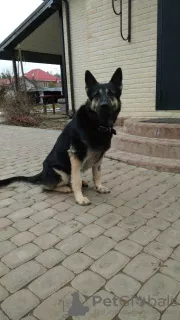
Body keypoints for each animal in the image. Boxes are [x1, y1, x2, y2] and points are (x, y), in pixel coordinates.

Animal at [0, 69, 122, 206]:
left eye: (111, 93)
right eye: (96, 95)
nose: (104, 105)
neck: (97, 125)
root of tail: (42, 173)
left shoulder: (99, 158)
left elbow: (97, 174)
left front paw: (99, 187)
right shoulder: (75, 156)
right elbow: (76, 181)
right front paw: (79, 198)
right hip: (61, 173)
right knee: (47, 186)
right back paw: (65, 188)